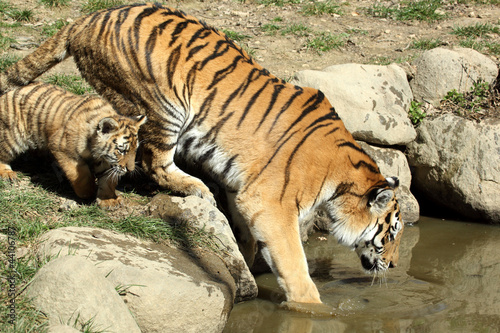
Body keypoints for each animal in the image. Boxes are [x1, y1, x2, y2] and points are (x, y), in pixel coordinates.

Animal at [0, 2, 404, 304]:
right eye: (392, 234)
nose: (396, 266)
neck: (341, 180)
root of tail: (86, 18)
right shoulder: (272, 205)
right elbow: (294, 266)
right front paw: (312, 307)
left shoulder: (242, 186)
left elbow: (246, 233)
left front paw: (247, 258)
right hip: (163, 105)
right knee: (151, 161)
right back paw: (195, 187)